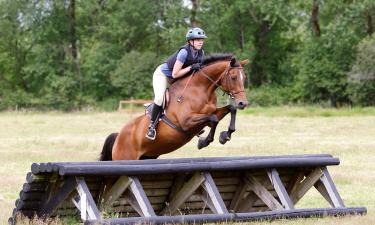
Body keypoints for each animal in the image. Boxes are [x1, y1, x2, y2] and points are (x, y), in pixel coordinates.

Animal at [100, 53, 250, 161]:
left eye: (244, 77)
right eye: (233, 77)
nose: (243, 103)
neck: (200, 89)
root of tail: (118, 136)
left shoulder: (209, 114)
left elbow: (229, 110)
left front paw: (225, 135)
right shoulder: (186, 122)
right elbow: (213, 119)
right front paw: (204, 141)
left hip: (147, 156)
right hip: (126, 157)